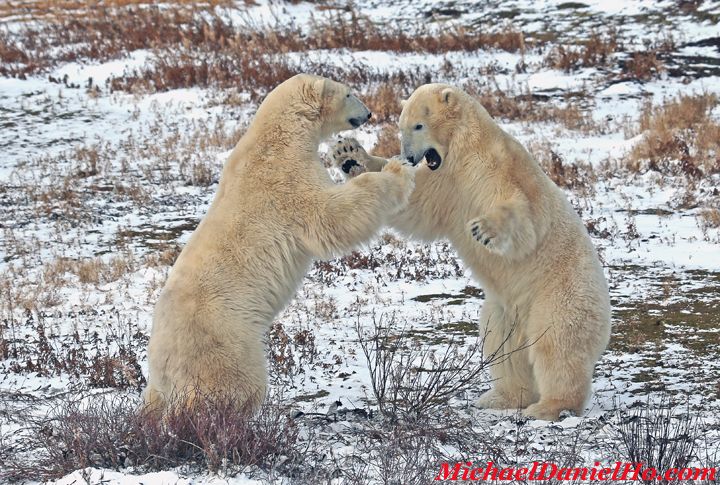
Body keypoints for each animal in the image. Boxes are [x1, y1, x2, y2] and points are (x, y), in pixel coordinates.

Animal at [143, 73, 414, 412]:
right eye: (349, 93)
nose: (368, 114)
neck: (280, 135)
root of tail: (162, 360)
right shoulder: (286, 178)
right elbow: (330, 217)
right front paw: (395, 170)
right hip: (225, 338)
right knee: (231, 385)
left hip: (167, 375)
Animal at [332, 83, 608, 420]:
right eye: (401, 126)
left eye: (418, 125)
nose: (409, 156)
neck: (468, 150)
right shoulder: (448, 182)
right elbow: (415, 205)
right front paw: (349, 154)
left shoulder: (502, 170)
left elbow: (525, 219)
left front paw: (485, 229)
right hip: (506, 309)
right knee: (502, 343)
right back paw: (501, 397)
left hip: (560, 294)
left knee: (556, 343)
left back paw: (549, 405)